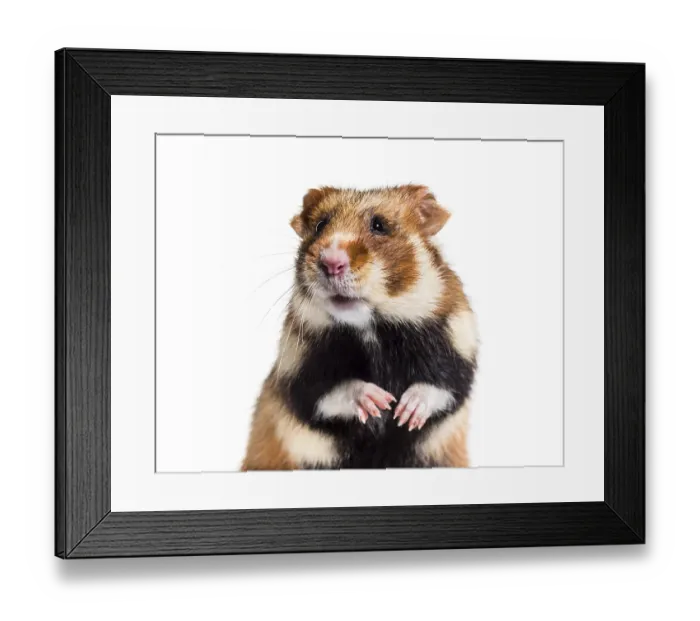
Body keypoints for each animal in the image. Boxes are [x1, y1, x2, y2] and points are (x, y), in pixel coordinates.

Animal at [242, 185, 479, 470]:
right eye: (320, 225)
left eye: (379, 225)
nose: (331, 262)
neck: (371, 328)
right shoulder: (297, 368)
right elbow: (329, 392)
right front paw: (378, 401)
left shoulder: (458, 346)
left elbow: (442, 385)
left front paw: (404, 411)